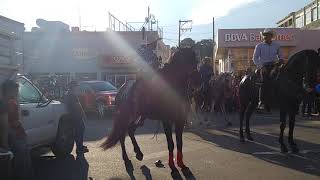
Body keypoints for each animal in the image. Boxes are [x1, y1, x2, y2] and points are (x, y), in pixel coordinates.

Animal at [100, 47, 200, 177]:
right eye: (185, 60)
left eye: (196, 60)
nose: (197, 81)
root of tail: (121, 89)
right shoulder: (166, 121)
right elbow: (171, 144)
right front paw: (173, 167)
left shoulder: (180, 120)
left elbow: (180, 143)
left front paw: (182, 164)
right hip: (127, 117)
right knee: (122, 134)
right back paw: (126, 159)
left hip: (140, 117)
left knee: (130, 130)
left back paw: (138, 153)